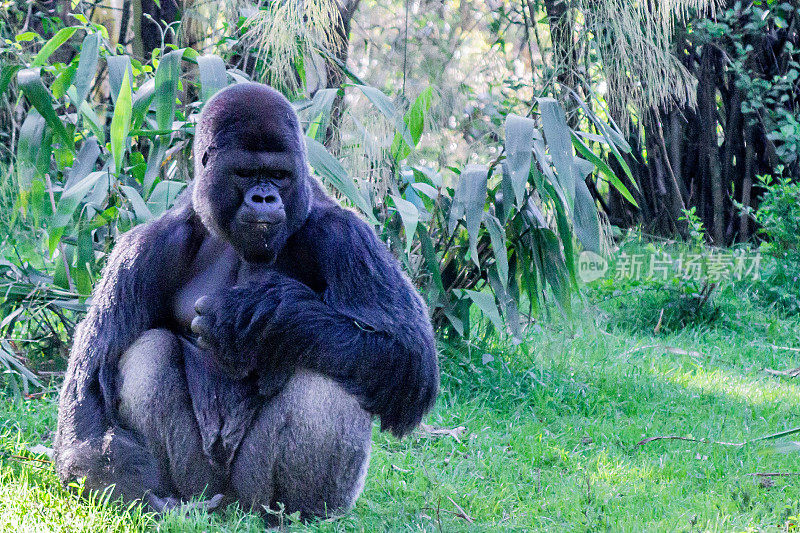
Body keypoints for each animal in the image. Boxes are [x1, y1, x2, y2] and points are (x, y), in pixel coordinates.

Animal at [53, 83, 440, 520]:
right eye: (246, 173)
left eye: (278, 175)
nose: (264, 197)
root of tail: (231, 505)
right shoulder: (145, 248)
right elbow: (90, 394)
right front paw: (125, 486)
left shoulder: (346, 235)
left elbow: (408, 357)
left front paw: (265, 315)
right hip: (201, 485)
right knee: (148, 350)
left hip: (257, 494)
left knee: (335, 363)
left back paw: (298, 512)